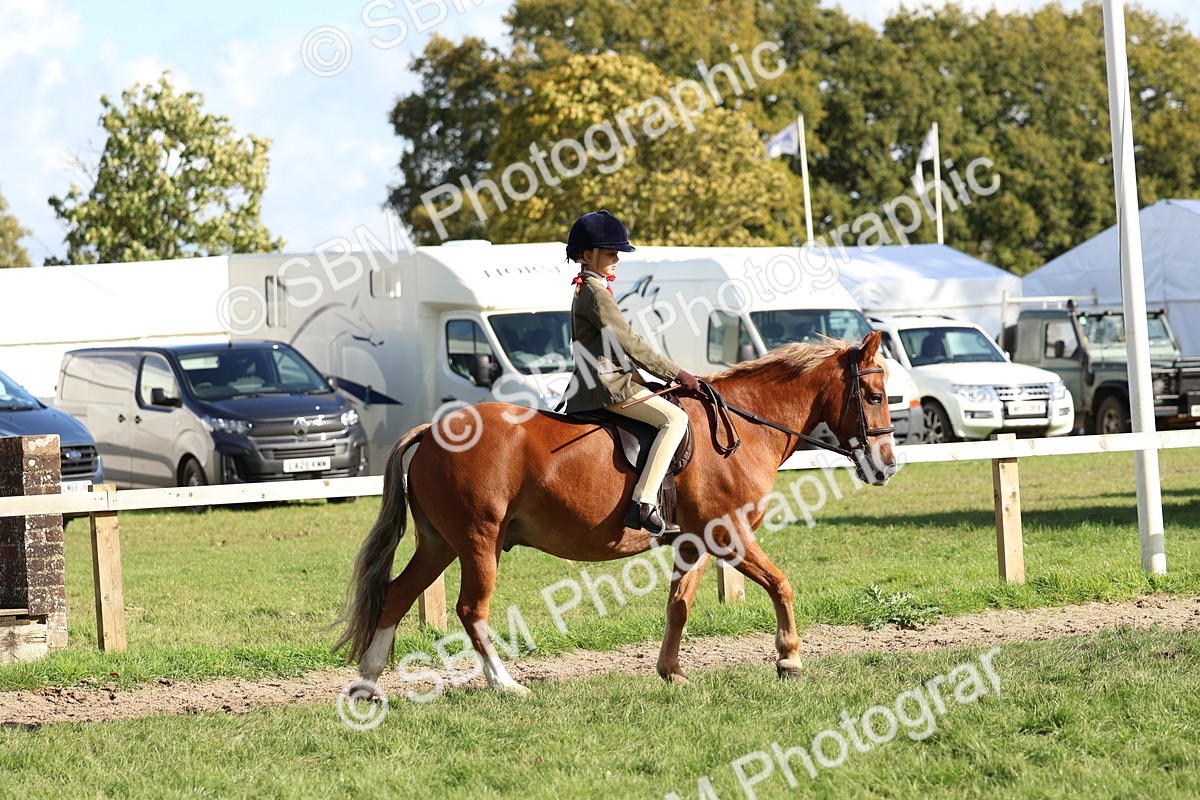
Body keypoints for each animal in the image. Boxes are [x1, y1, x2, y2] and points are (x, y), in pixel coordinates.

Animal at [335, 331, 897, 694]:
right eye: (874, 395)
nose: (887, 466)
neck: (743, 427)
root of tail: (430, 433)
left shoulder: (695, 540)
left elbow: (679, 604)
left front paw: (671, 673)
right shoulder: (730, 535)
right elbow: (781, 584)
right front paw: (789, 659)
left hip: (439, 544)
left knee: (396, 597)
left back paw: (367, 684)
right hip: (477, 542)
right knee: (471, 611)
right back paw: (506, 685)